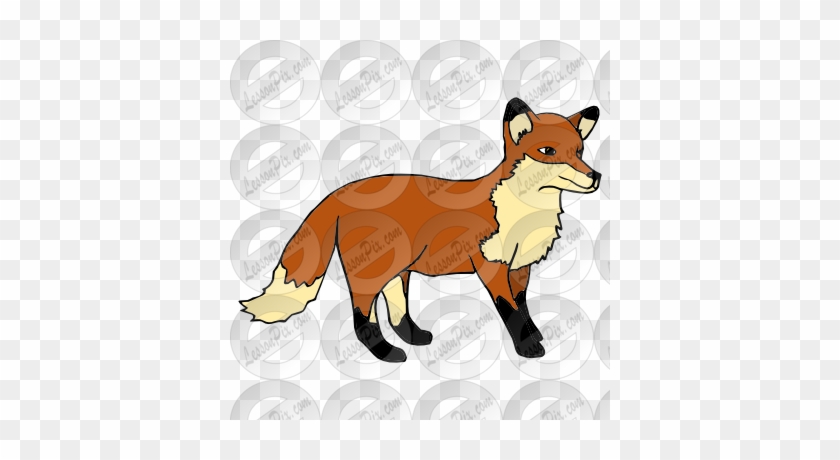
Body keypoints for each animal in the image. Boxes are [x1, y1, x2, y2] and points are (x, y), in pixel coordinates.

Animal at [240, 97, 601, 363]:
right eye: (548, 151)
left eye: (579, 151)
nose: (596, 177)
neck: (520, 215)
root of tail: (341, 192)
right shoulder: (492, 268)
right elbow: (510, 310)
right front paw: (528, 349)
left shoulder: (519, 268)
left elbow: (523, 308)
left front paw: (535, 334)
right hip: (372, 272)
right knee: (363, 318)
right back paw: (386, 353)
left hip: (397, 269)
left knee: (396, 312)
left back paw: (414, 337)